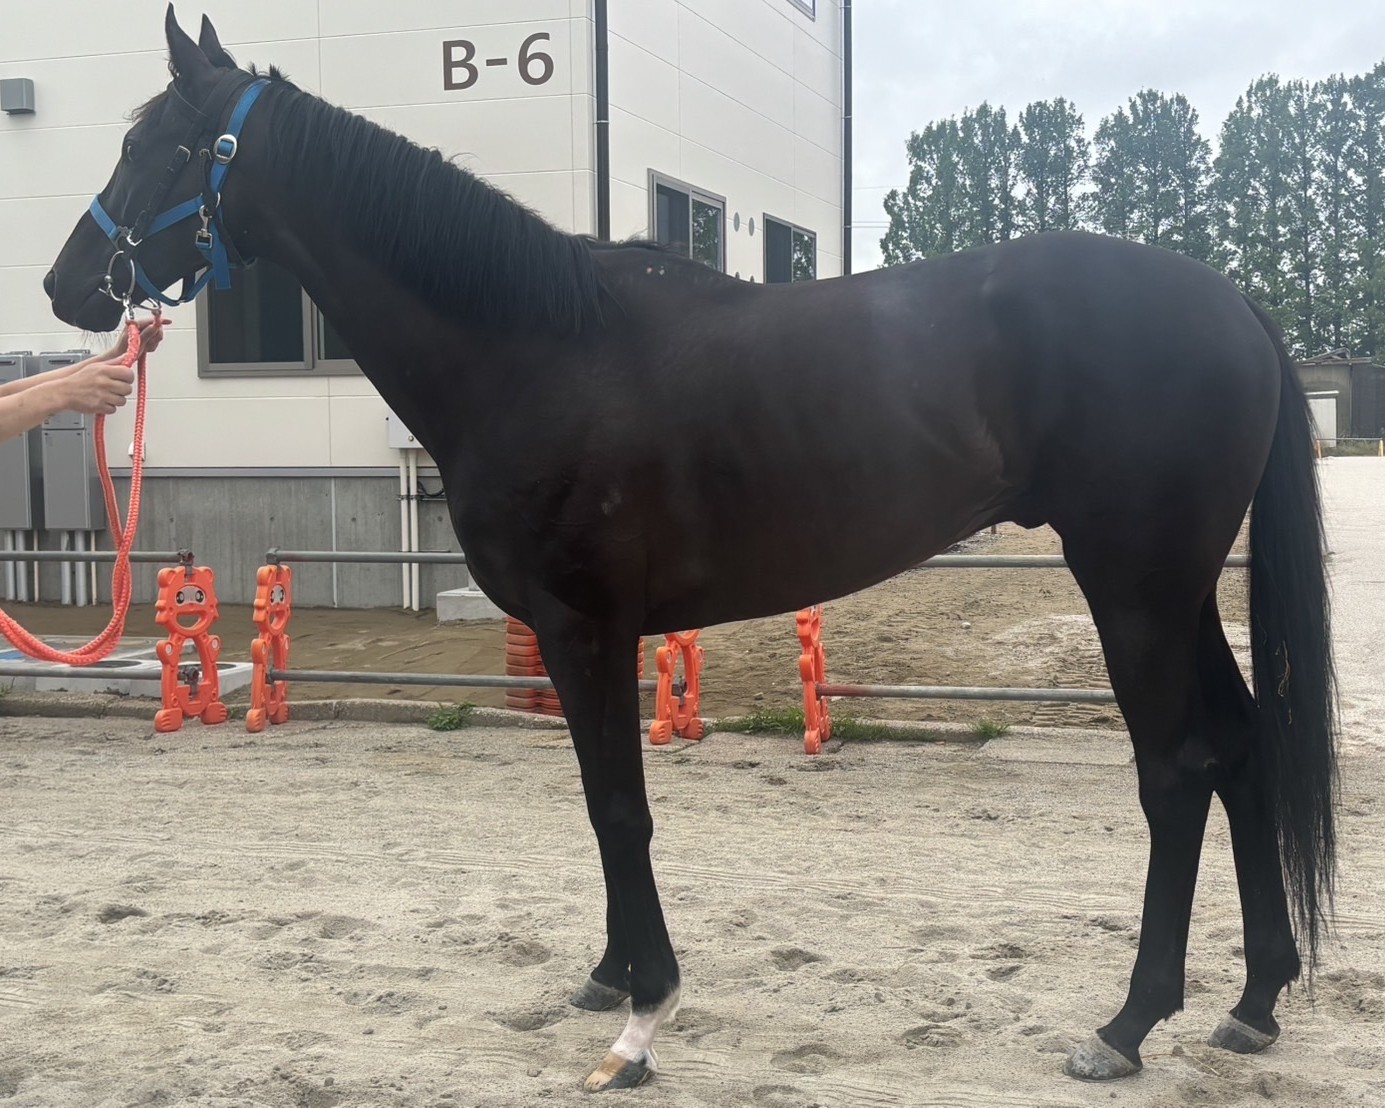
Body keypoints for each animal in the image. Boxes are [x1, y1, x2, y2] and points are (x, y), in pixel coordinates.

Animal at [44, 7, 1338, 1092]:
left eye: (156, 145)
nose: (66, 285)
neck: (532, 344)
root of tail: (1232, 302)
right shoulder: (583, 634)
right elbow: (596, 801)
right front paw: (610, 974)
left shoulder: (582, 625)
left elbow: (619, 808)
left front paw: (642, 1016)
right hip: (1175, 592)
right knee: (1240, 747)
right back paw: (1252, 1001)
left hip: (1132, 587)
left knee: (1175, 772)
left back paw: (1126, 1024)